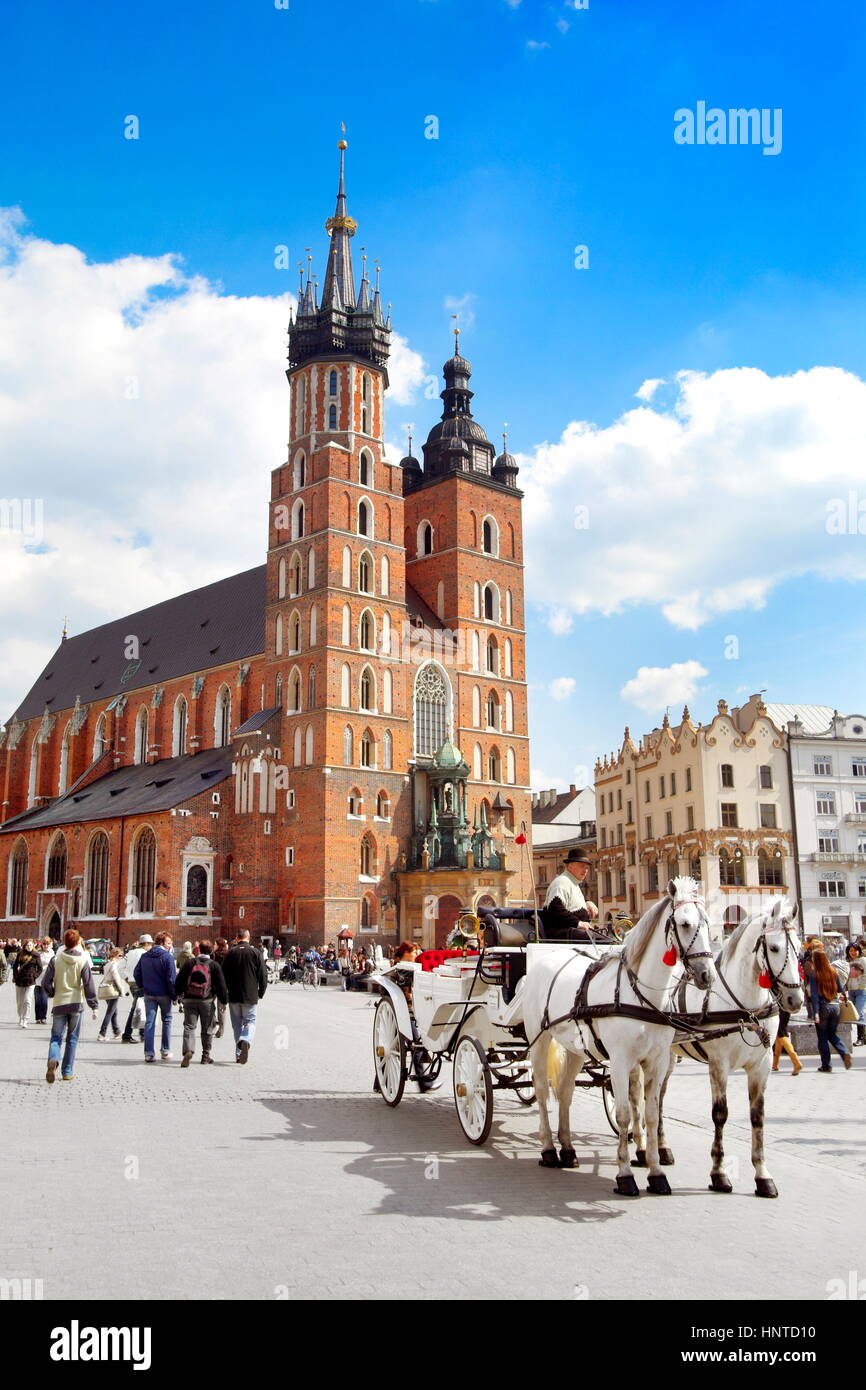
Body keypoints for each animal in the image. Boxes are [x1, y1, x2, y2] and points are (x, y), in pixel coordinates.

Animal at [525, 878, 717, 1195]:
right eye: (685, 923)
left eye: (708, 924)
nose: (707, 976)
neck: (641, 995)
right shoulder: (619, 1061)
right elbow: (625, 1113)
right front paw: (625, 1175)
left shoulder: (657, 1061)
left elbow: (651, 1113)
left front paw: (655, 1173)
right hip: (539, 1040)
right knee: (541, 1090)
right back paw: (549, 1150)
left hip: (575, 1049)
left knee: (565, 1092)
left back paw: (568, 1149)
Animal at [656, 895, 806, 1200]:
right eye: (774, 947)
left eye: (799, 948)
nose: (795, 999)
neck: (745, 1005)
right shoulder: (719, 1064)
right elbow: (720, 1115)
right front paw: (719, 1173)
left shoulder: (761, 1065)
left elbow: (758, 1116)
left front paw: (763, 1176)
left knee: (657, 1096)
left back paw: (661, 1148)